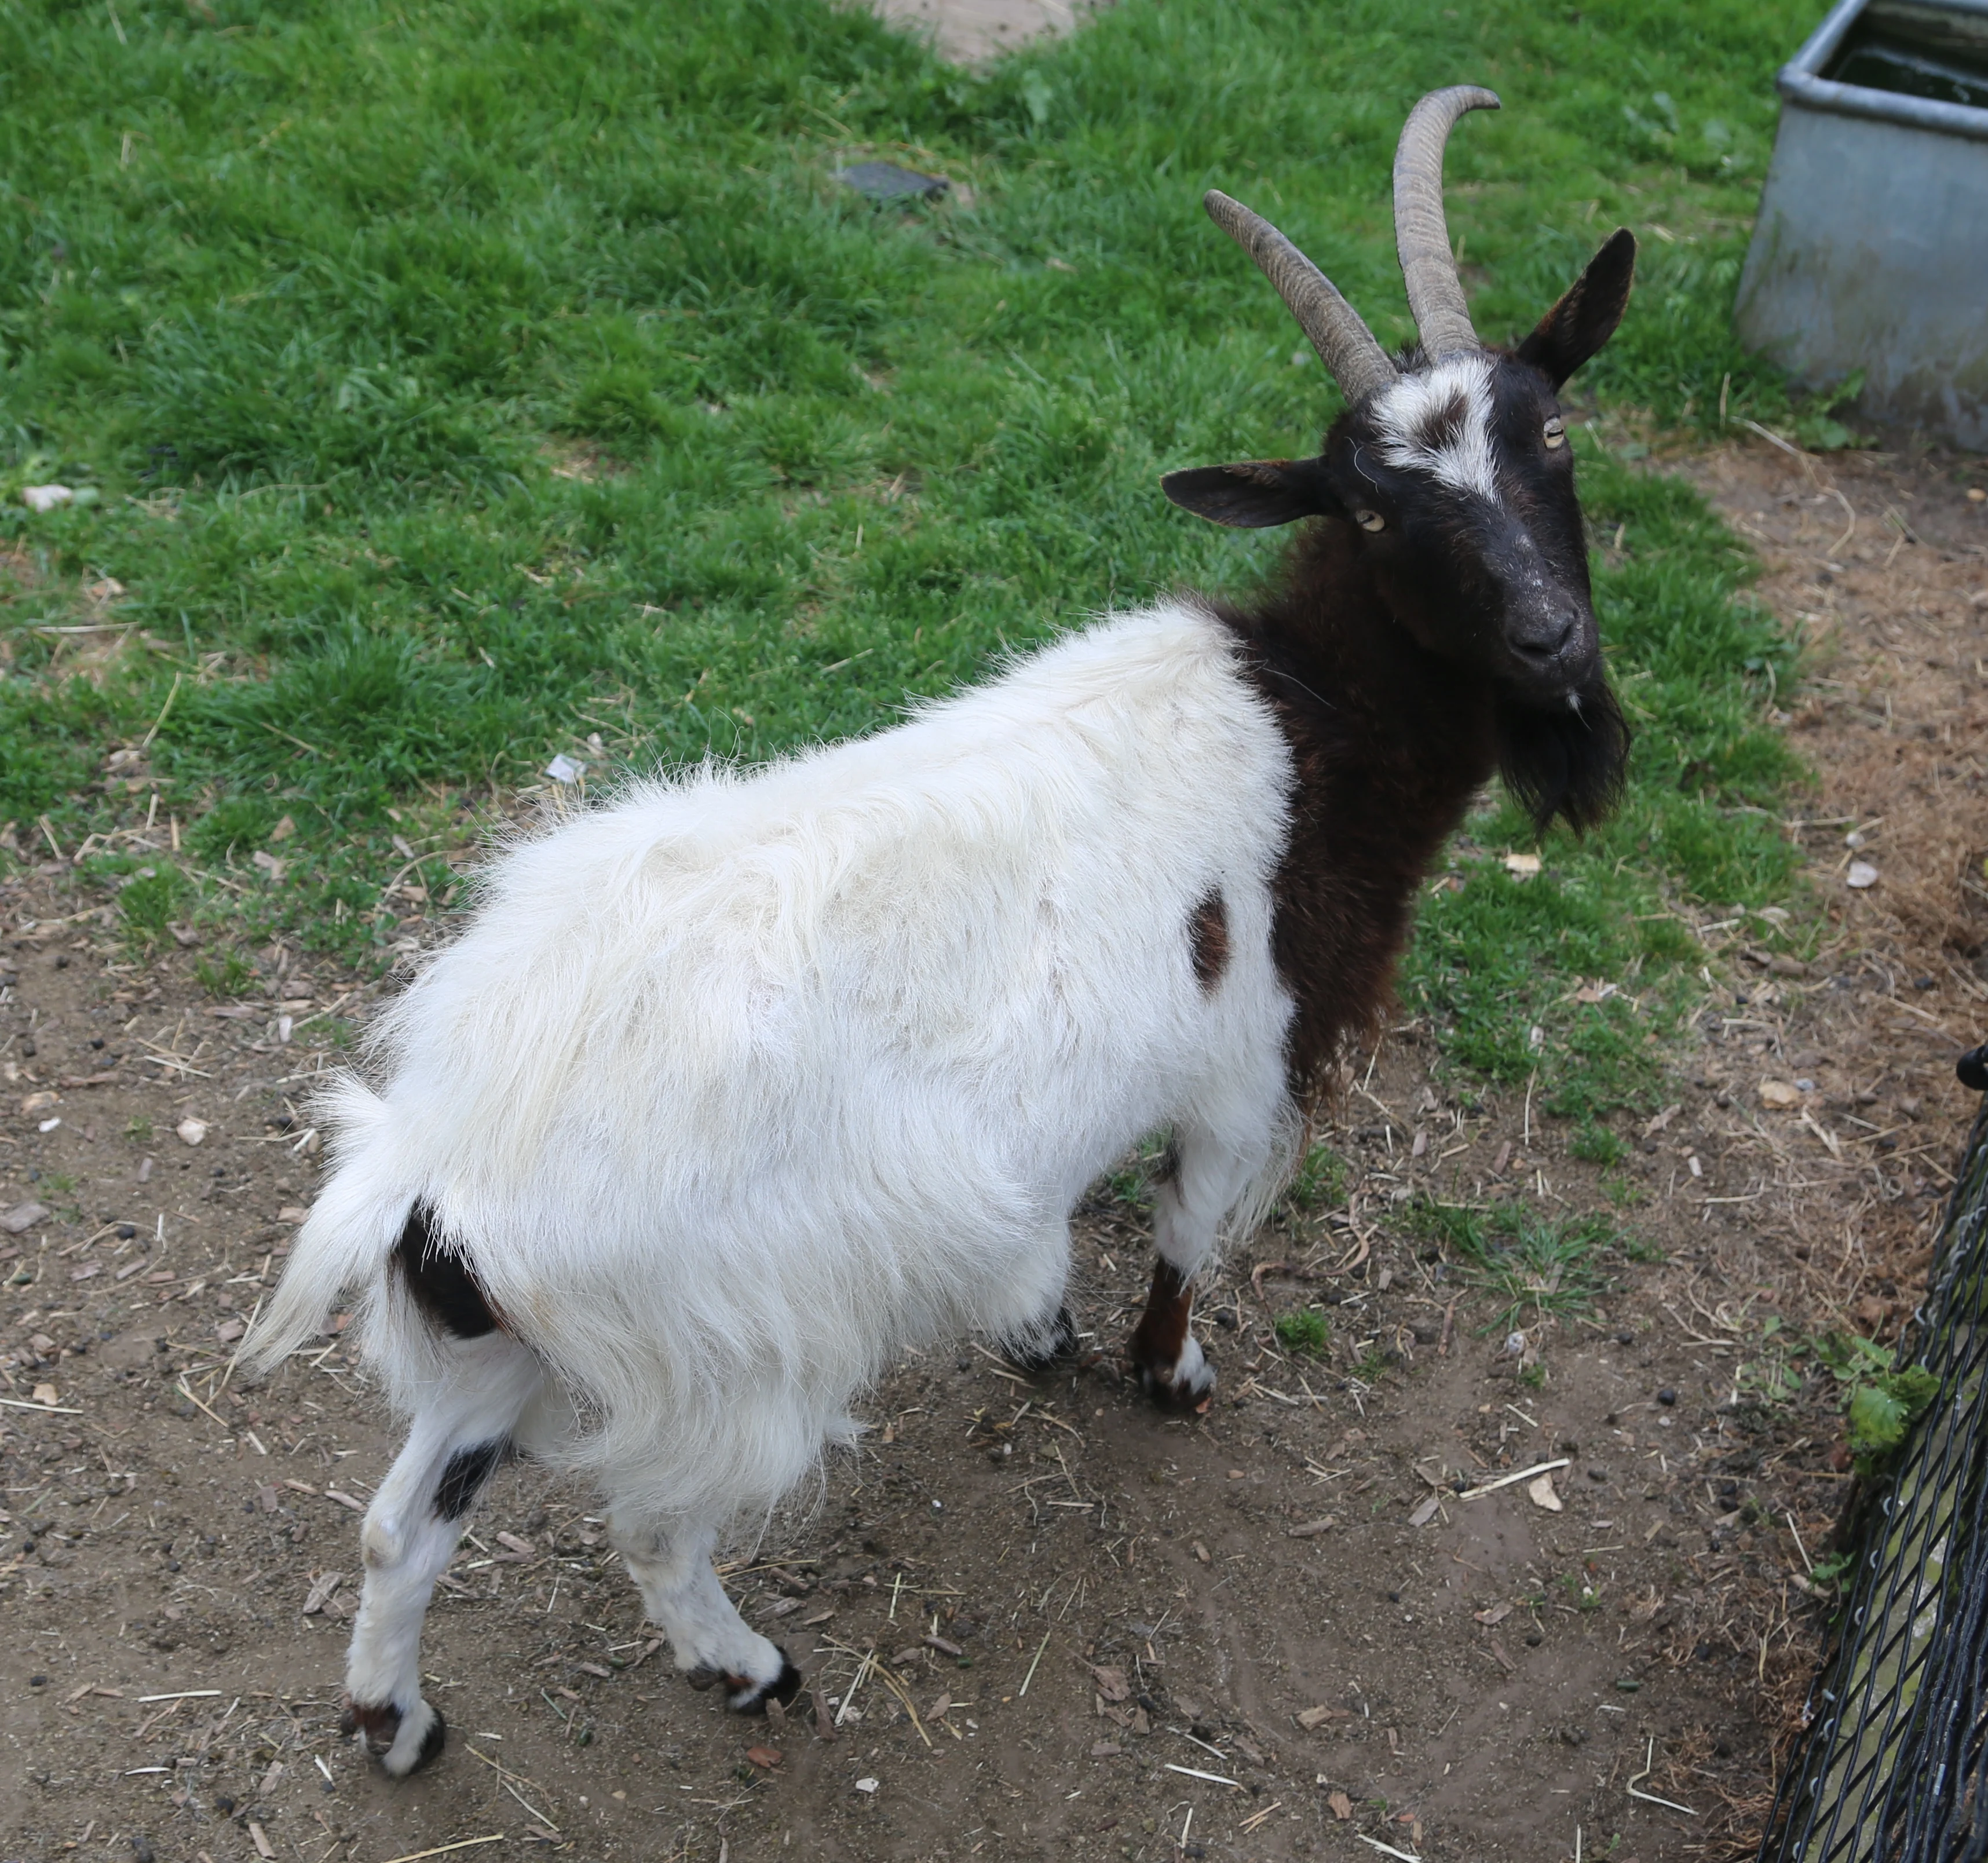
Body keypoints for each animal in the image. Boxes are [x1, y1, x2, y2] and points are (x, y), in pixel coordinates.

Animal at [242, 86, 1634, 1776]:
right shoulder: (1242, 1074)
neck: (1307, 729)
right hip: (727, 1354)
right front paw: (1168, 1376)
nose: (1551, 641)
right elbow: (1187, 1238)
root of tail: (438, 1159)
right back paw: (747, 1667)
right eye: (1375, 501)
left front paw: (1039, 1331)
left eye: (1547, 430)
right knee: (649, 1530)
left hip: (508, 1344)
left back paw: (398, 1719)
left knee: (403, 1521)